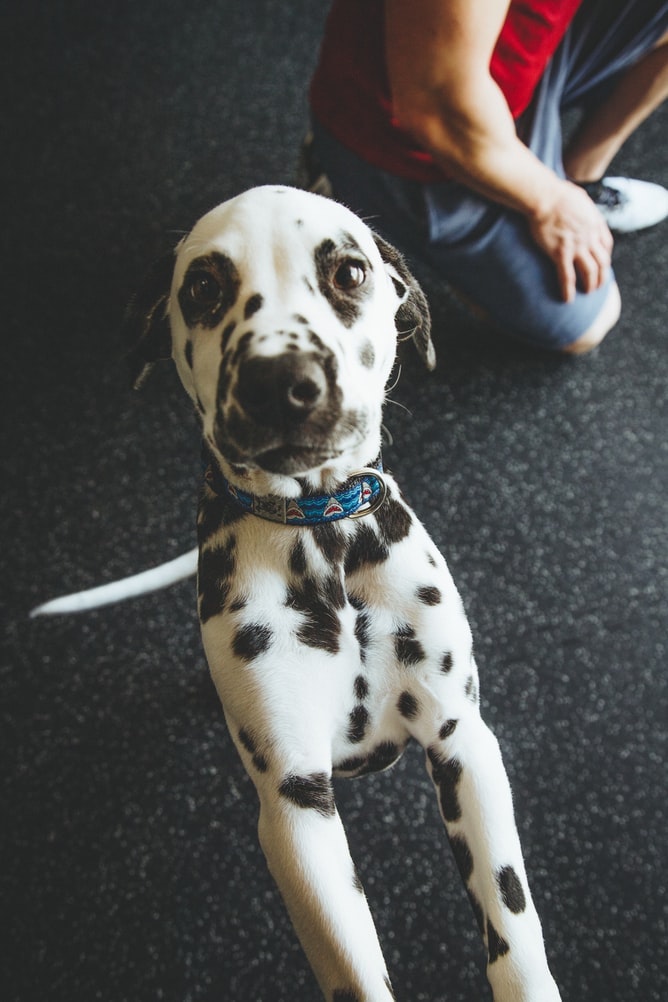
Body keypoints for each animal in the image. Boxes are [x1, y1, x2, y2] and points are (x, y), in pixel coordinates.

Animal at [39, 186, 564, 993]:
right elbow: (356, 972)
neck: (326, 542)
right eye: (202, 288)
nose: (279, 383)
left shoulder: (463, 741)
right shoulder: (295, 806)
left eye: (349, 272)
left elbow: (513, 925)